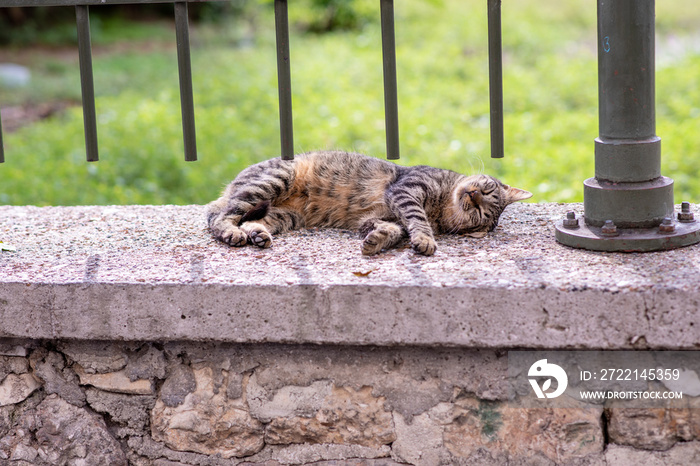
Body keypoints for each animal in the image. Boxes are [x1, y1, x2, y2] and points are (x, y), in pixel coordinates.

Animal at [206, 151, 532, 255]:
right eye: (487, 188)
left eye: (480, 213)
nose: (473, 195)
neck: (442, 205)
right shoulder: (407, 190)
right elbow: (417, 220)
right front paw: (426, 239)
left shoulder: (377, 217)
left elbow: (397, 230)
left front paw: (379, 239)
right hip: (275, 180)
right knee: (222, 216)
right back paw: (233, 232)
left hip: (286, 216)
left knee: (250, 219)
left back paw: (257, 234)